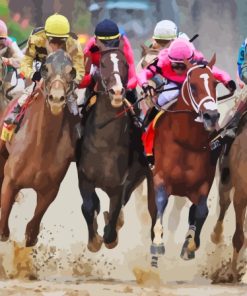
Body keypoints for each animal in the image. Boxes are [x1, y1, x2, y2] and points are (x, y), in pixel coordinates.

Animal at [0, 49, 78, 246]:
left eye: (71, 71)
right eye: (45, 68)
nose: (56, 98)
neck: (40, 148)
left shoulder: (49, 190)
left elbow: (32, 231)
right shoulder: (10, 181)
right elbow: (3, 229)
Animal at [75, 45, 154, 252]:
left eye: (125, 64)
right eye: (102, 64)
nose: (117, 91)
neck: (104, 143)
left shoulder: (120, 184)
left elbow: (115, 213)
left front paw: (109, 236)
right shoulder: (84, 177)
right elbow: (88, 206)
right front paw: (94, 241)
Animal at [150, 55, 221, 266]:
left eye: (215, 83)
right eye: (193, 85)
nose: (211, 116)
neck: (186, 141)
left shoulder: (204, 183)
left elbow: (201, 211)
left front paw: (190, 245)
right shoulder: (160, 177)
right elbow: (160, 202)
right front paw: (157, 243)